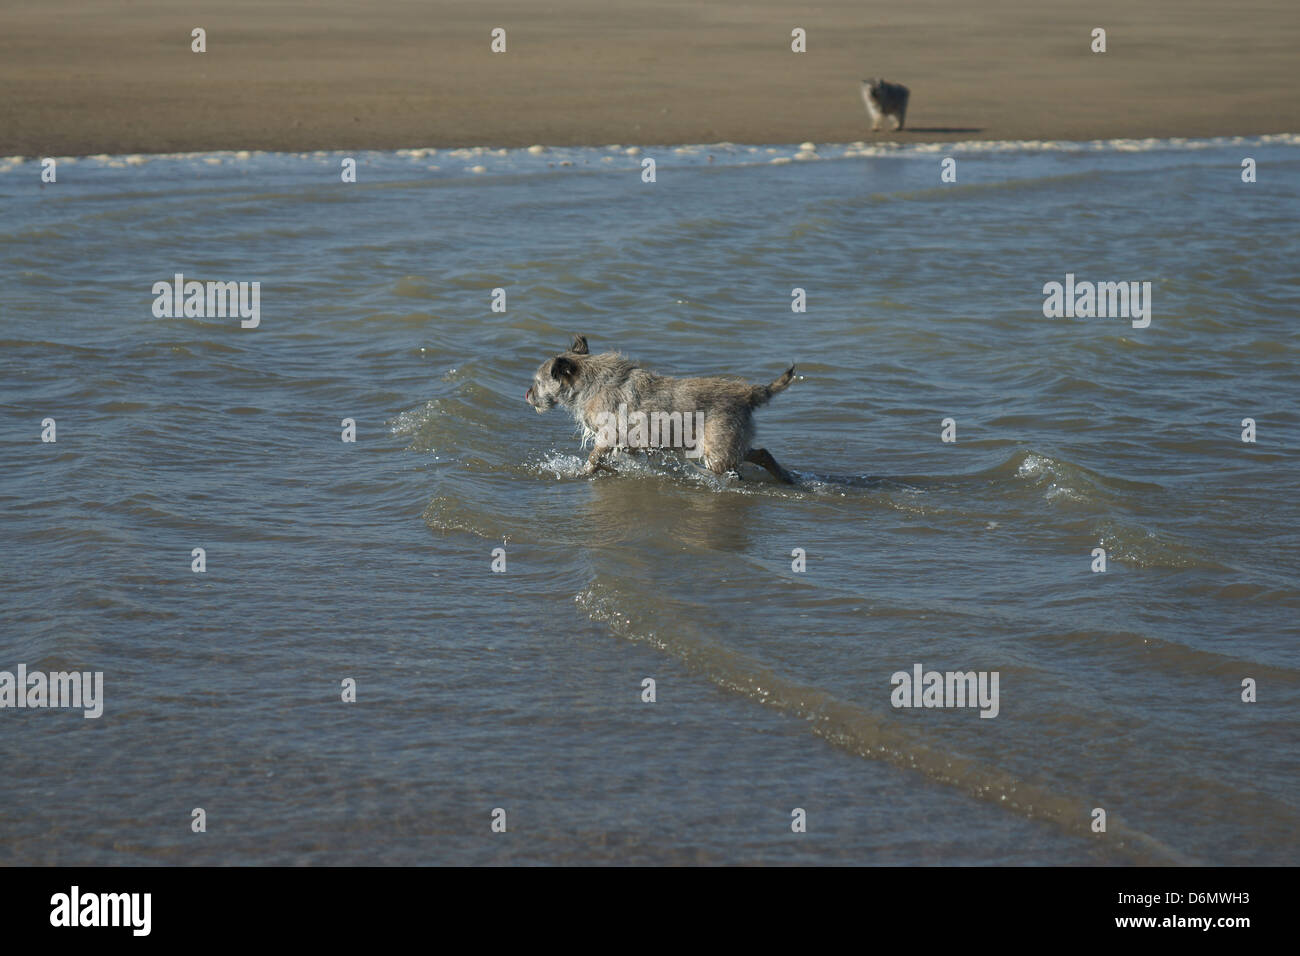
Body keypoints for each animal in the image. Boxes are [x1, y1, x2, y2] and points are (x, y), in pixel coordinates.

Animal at [525, 335, 790, 486]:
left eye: (538, 382)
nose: (527, 395)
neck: (590, 382)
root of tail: (746, 394)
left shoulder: (607, 436)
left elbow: (593, 458)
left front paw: (582, 473)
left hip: (717, 450)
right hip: (729, 445)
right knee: (761, 453)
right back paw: (786, 478)